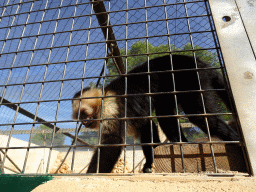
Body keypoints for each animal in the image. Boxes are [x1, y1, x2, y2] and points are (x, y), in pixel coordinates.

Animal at [71, 54, 239, 173]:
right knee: (164, 113)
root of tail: (196, 61)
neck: (103, 99)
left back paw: (234, 140)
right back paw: (181, 144)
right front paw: (150, 162)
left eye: (83, 113)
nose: (83, 122)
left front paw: (91, 174)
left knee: (199, 115)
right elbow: (147, 125)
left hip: (190, 76)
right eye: (78, 117)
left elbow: (113, 141)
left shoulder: (111, 108)